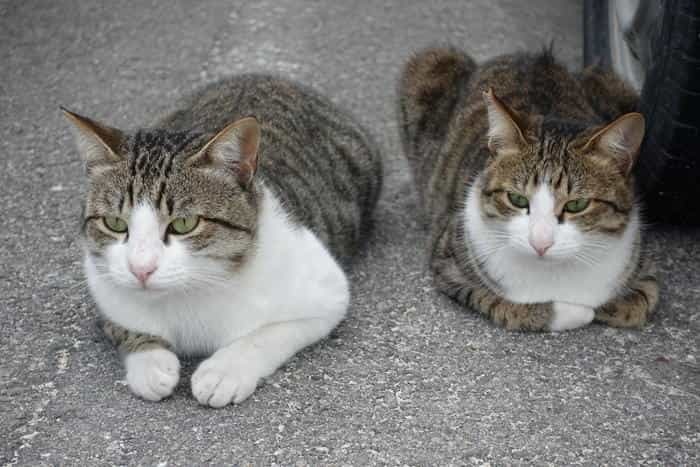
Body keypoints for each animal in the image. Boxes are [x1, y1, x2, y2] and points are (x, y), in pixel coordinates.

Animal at [64, 75, 382, 408]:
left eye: (184, 224)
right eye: (114, 223)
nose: (141, 269)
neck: (189, 292)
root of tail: (263, 75)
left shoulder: (327, 293)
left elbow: (264, 335)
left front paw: (225, 370)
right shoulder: (104, 288)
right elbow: (125, 325)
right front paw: (150, 362)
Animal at [400, 46, 656, 332]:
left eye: (576, 204)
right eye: (516, 199)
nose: (540, 243)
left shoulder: (644, 266)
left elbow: (639, 304)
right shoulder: (448, 264)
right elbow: (507, 306)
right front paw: (571, 313)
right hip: (430, 62)